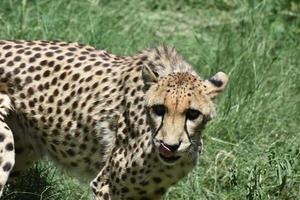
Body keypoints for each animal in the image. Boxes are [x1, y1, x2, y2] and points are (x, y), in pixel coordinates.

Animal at [0, 39, 227, 199]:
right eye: (159, 109)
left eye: (193, 114)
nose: (169, 146)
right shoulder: (105, 185)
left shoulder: (148, 193)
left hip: (24, 149)